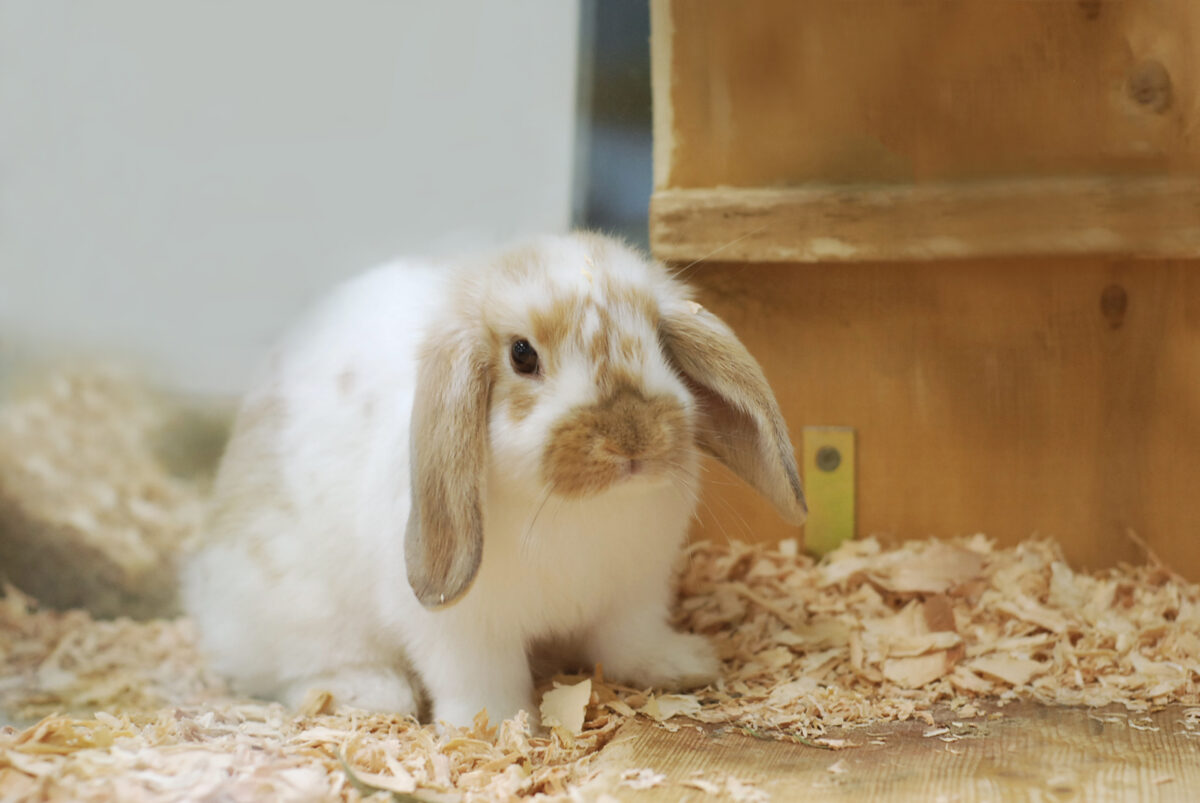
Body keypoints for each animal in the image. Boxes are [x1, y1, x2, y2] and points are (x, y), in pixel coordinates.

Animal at [181, 232, 806, 727]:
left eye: (656, 339)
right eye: (522, 355)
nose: (632, 439)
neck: (578, 509)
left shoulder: (633, 594)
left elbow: (627, 642)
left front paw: (682, 666)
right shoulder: (464, 630)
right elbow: (479, 680)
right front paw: (497, 728)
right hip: (297, 612)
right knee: (293, 668)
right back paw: (374, 694)